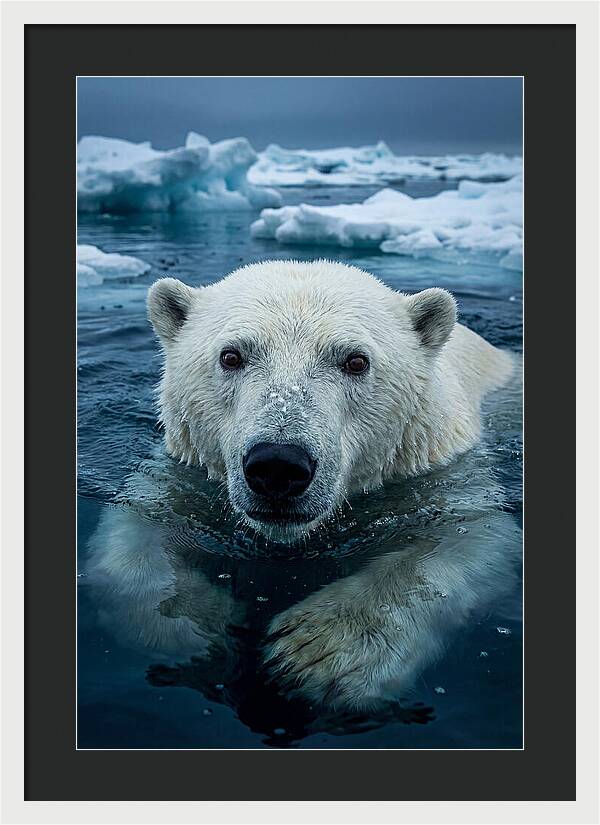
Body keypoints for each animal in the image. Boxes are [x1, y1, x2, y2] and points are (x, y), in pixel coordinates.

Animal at [83, 259, 520, 723]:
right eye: (231, 355)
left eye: (356, 361)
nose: (278, 465)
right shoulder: (182, 474)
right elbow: (135, 534)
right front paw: (198, 627)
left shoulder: (443, 473)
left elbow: (472, 538)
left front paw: (317, 652)